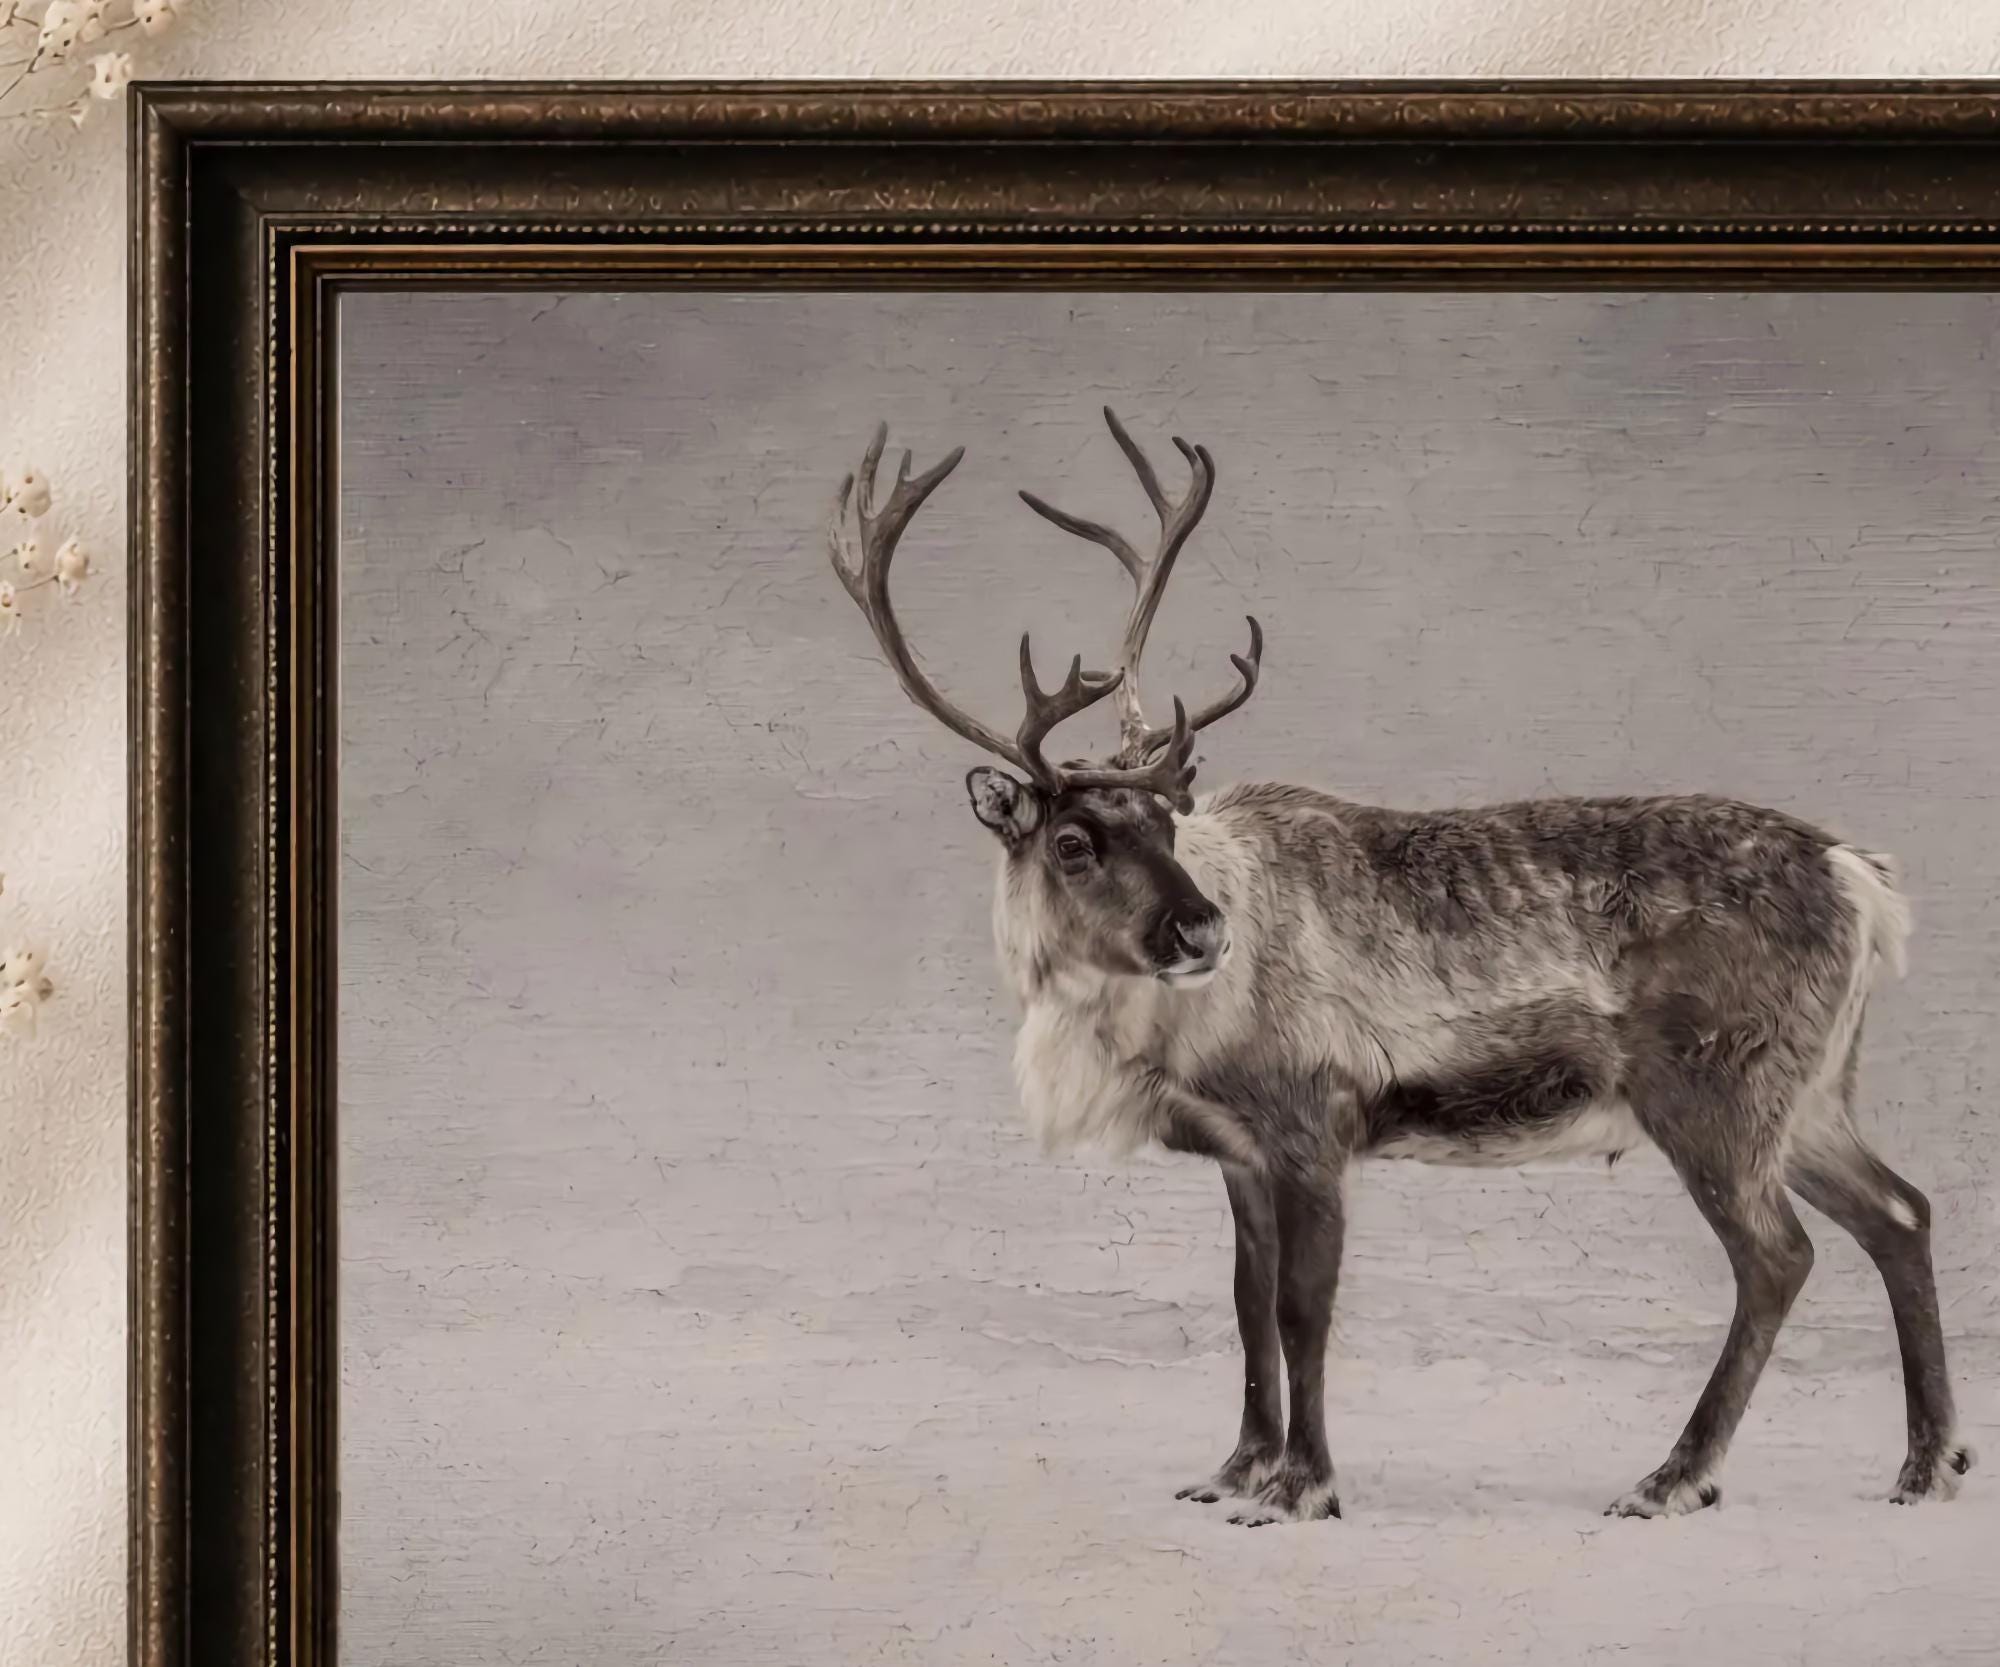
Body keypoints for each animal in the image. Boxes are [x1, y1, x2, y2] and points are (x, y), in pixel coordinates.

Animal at [824, 407, 1973, 1527]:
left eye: (1163, 820)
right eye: (1072, 841)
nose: (1201, 930)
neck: (1157, 1037)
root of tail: (1860, 879)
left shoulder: (1312, 1126)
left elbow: (1301, 1307)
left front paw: (1301, 1486)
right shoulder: (1239, 1153)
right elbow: (1245, 1305)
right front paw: (1235, 1467)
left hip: (1716, 1093)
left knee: (1779, 1255)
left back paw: (1674, 1476)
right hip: (1807, 1094)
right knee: (1902, 1211)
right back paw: (1927, 1463)